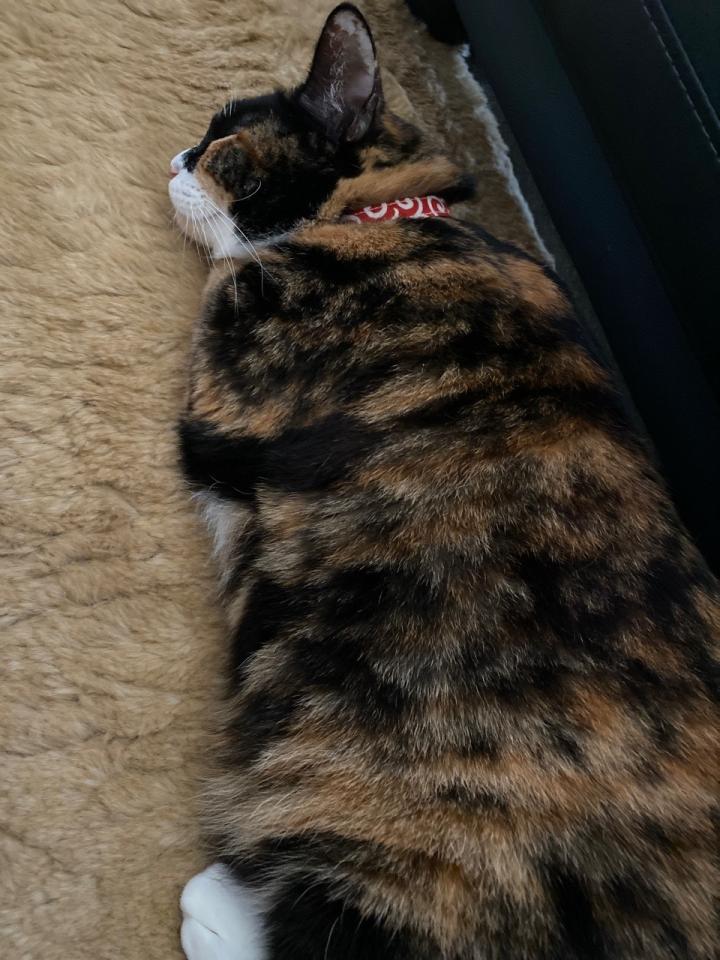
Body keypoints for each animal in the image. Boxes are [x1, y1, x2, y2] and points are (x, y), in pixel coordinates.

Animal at [168, 5, 720, 959]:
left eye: (224, 145)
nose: (175, 156)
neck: (391, 215)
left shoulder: (229, 366)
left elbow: (227, 273)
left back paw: (209, 907)